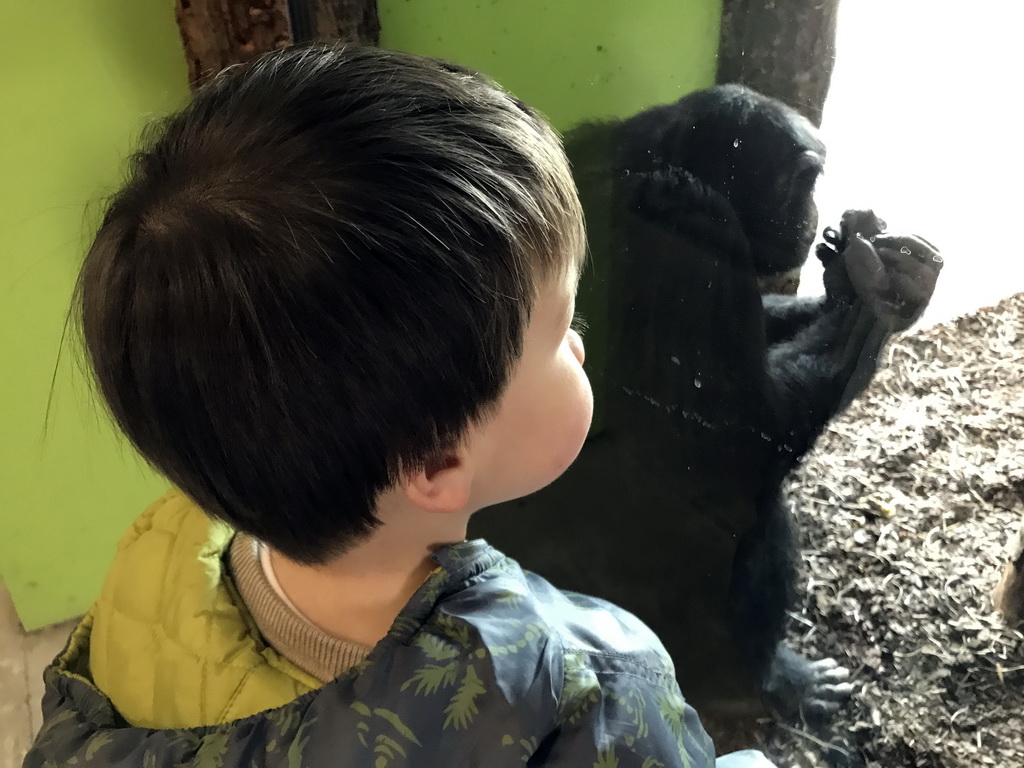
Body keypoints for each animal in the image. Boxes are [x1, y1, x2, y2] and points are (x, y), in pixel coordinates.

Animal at [468, 87, 937, 724]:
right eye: (805, 179)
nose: (814, 209)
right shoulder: (692, 232)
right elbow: (732, 436)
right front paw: (881, 295)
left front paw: (853, 277)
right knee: (754, 511)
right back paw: (772, 680)